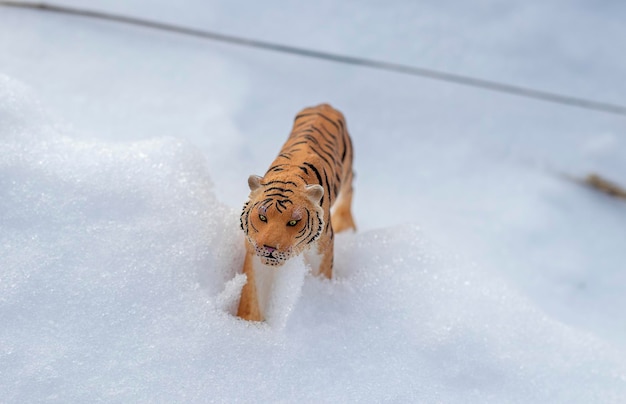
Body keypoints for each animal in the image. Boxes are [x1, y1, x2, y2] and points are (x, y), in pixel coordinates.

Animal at [238, 104, 356, 322]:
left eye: (293, 222)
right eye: (262, 217)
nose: (270, 248)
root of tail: (325, 105)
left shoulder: (323, 246)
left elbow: (322, 273)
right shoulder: (253, 248)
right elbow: (252, 292)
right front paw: (247, 324)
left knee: (350, 188)